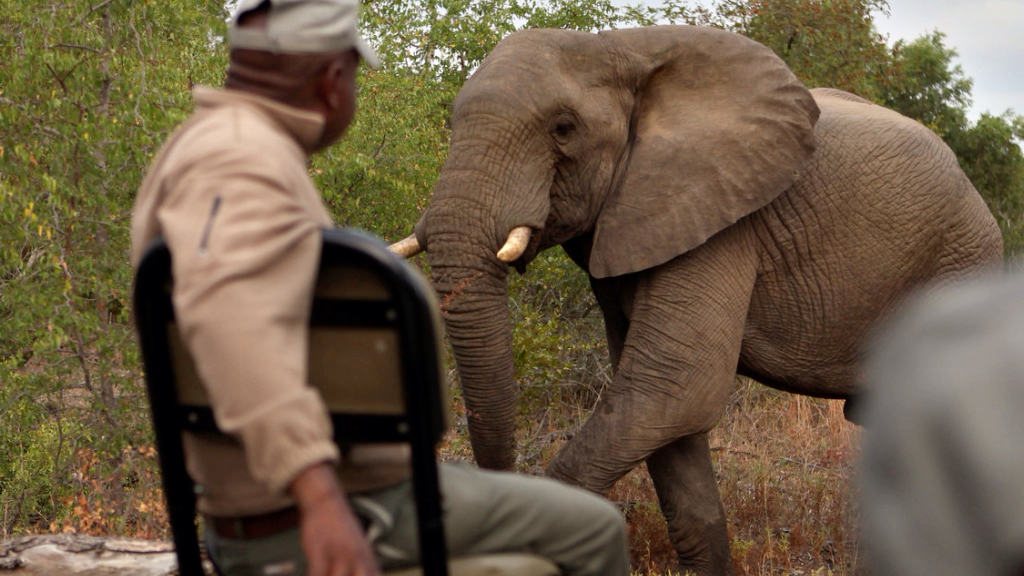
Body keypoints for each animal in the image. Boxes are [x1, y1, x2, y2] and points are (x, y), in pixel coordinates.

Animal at [385, 24, 999, 569]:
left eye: (563, 128)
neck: (619, 50)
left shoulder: (723, 219)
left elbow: (676, 386)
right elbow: (659, 410)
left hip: (961, 262)